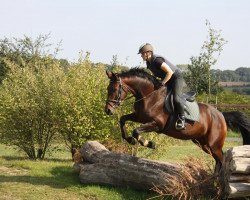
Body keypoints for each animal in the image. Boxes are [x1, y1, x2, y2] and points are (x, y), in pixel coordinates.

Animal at [104, 68, 250, 174]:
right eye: (107, 89)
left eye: (114, 89)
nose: (108, 110)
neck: (150, 95)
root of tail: (221, 115)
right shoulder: (140, 117)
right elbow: (123, 120)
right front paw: (130, 140)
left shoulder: (157, 124)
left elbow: (136, 130)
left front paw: (149, 143)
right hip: (203, 143)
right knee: (219, 160)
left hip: (214, 145)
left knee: (222, 159)